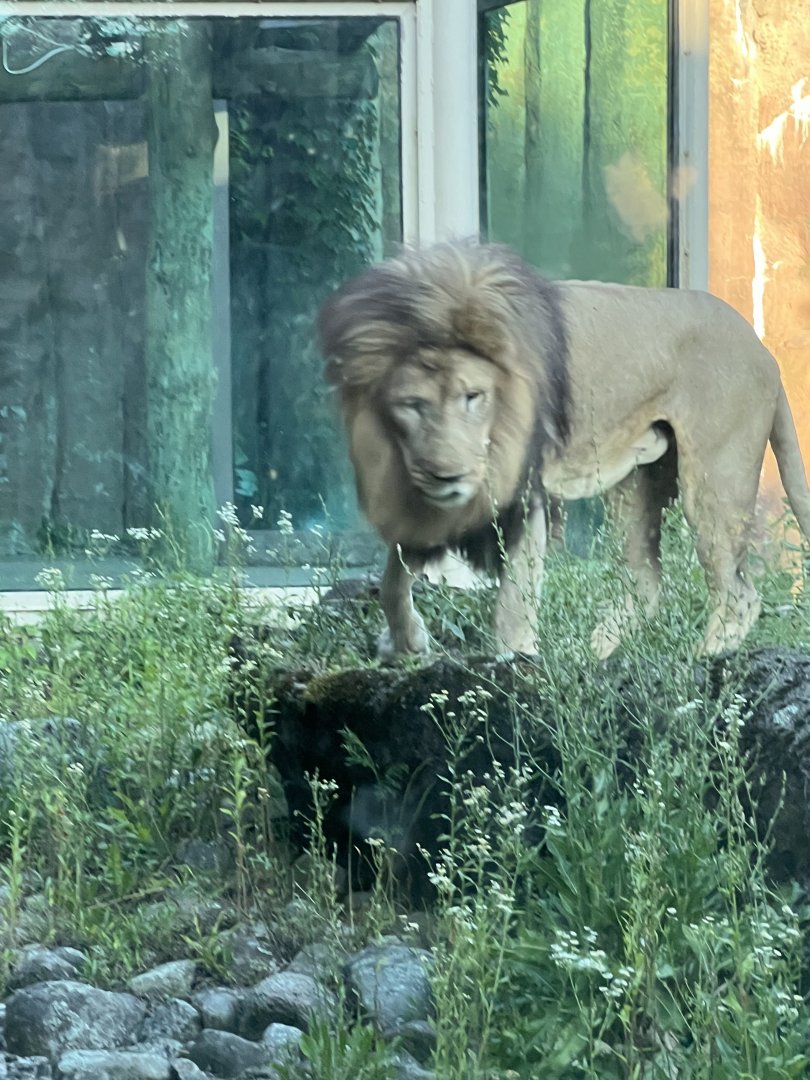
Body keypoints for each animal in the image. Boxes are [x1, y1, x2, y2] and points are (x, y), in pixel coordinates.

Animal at [318, 240, 810, 659]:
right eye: (413, 405)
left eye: (473, 396)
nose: (447, 475)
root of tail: (765, 351)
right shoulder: (420, 507)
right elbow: (390, 578)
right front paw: (408, 643)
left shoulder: (523, 495)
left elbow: (514, 597)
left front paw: (515, 659)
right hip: (635, 482)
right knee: (647, 583)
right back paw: (591, 655)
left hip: (713, 482)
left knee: (739, 593)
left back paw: (698, 661)